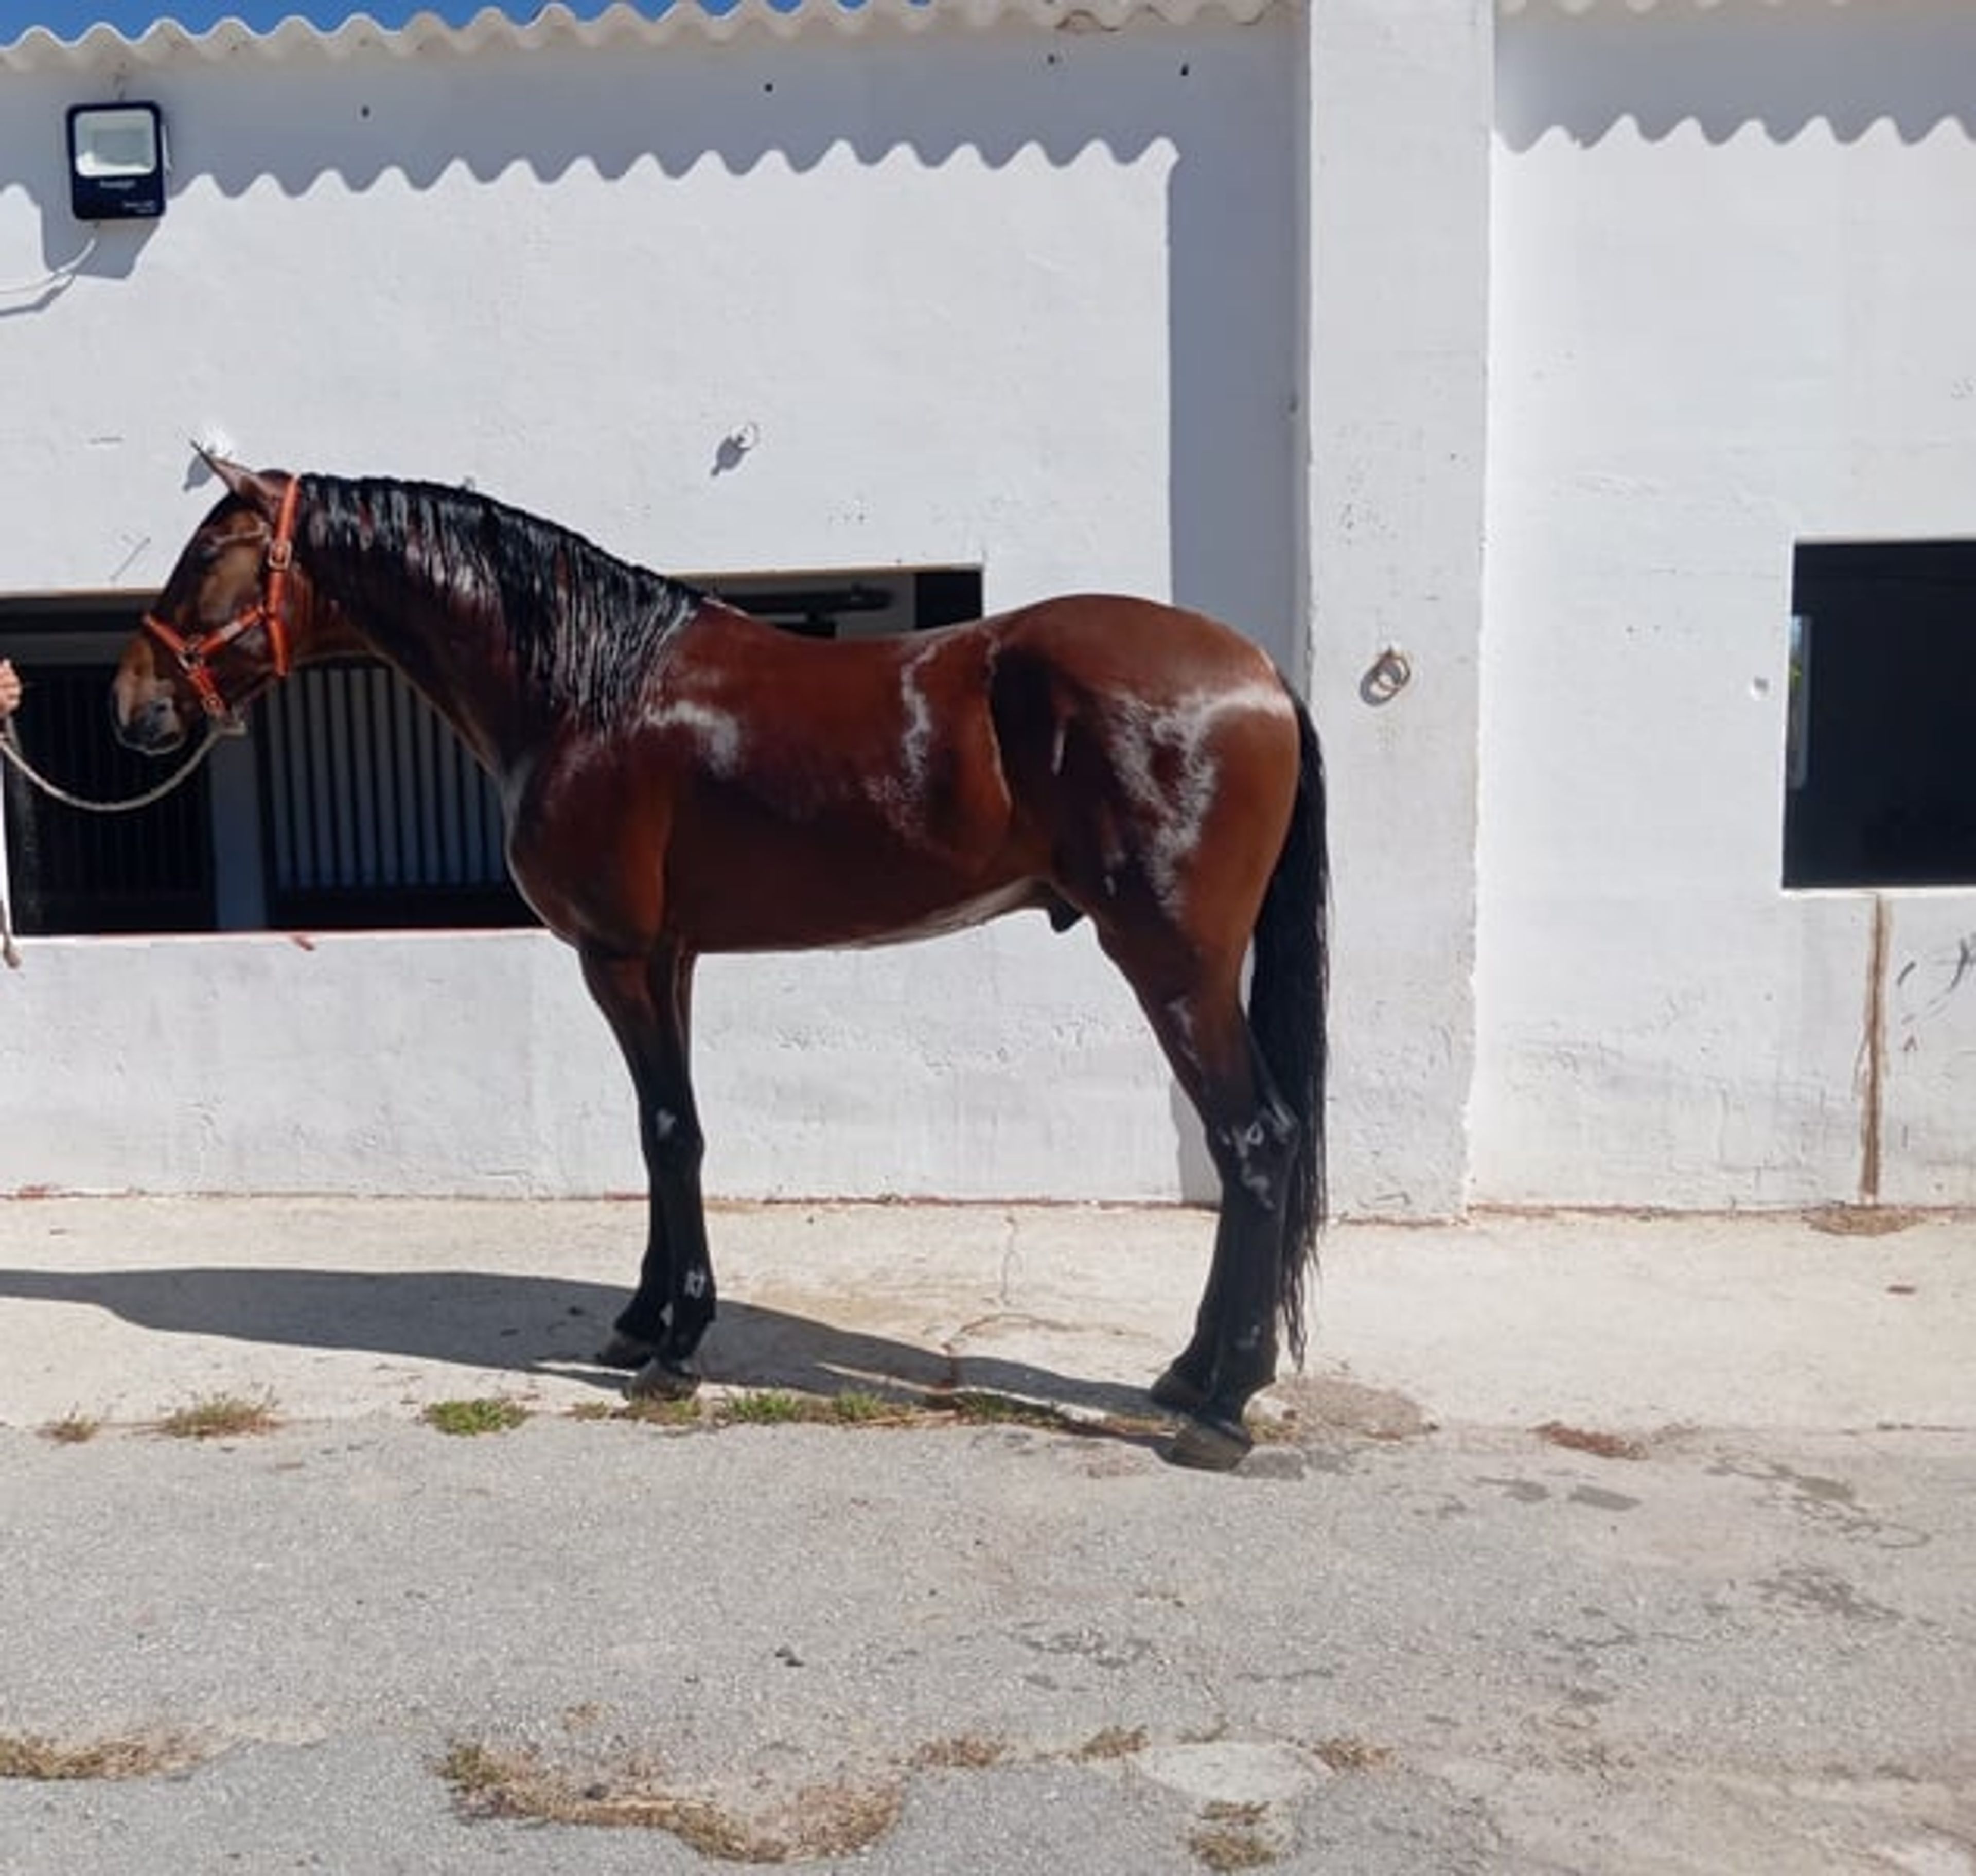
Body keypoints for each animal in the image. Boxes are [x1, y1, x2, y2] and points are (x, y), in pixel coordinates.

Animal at [111, 458, 1329, 1470]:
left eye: (208, 556)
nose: (132, 705)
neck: (585, 687)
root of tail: (1258, 671)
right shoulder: (672, 956)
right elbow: (668, 1137)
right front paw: (641, 1321)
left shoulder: (619, 956)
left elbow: (668, 1132)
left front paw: (676, 1345)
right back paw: (1190, 1374)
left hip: (1174, 966)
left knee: (1255, 1140)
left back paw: (1223, 1404)